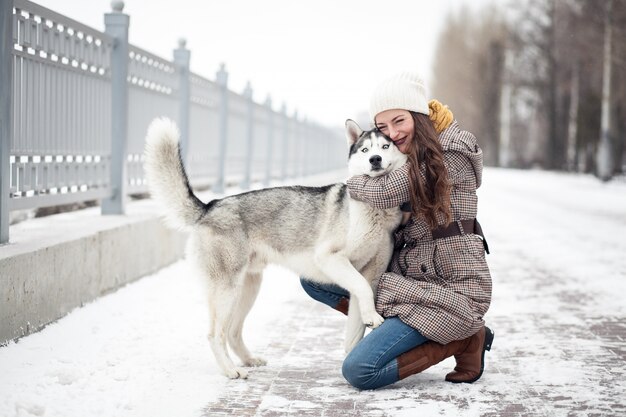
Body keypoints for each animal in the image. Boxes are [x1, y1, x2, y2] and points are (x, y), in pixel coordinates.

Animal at [143, 116, 404, 376]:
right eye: (365, 150)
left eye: (385, 146)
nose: (375, 159)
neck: (376, 209)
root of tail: (210, 206)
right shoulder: (330, 258)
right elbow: (362, 288)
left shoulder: (371, 272)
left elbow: (358, 312)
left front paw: (355, 346)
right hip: (227, 290)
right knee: (215, 335)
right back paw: (230, 370)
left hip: (248, 288)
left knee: (232, 332)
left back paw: (248, 360)